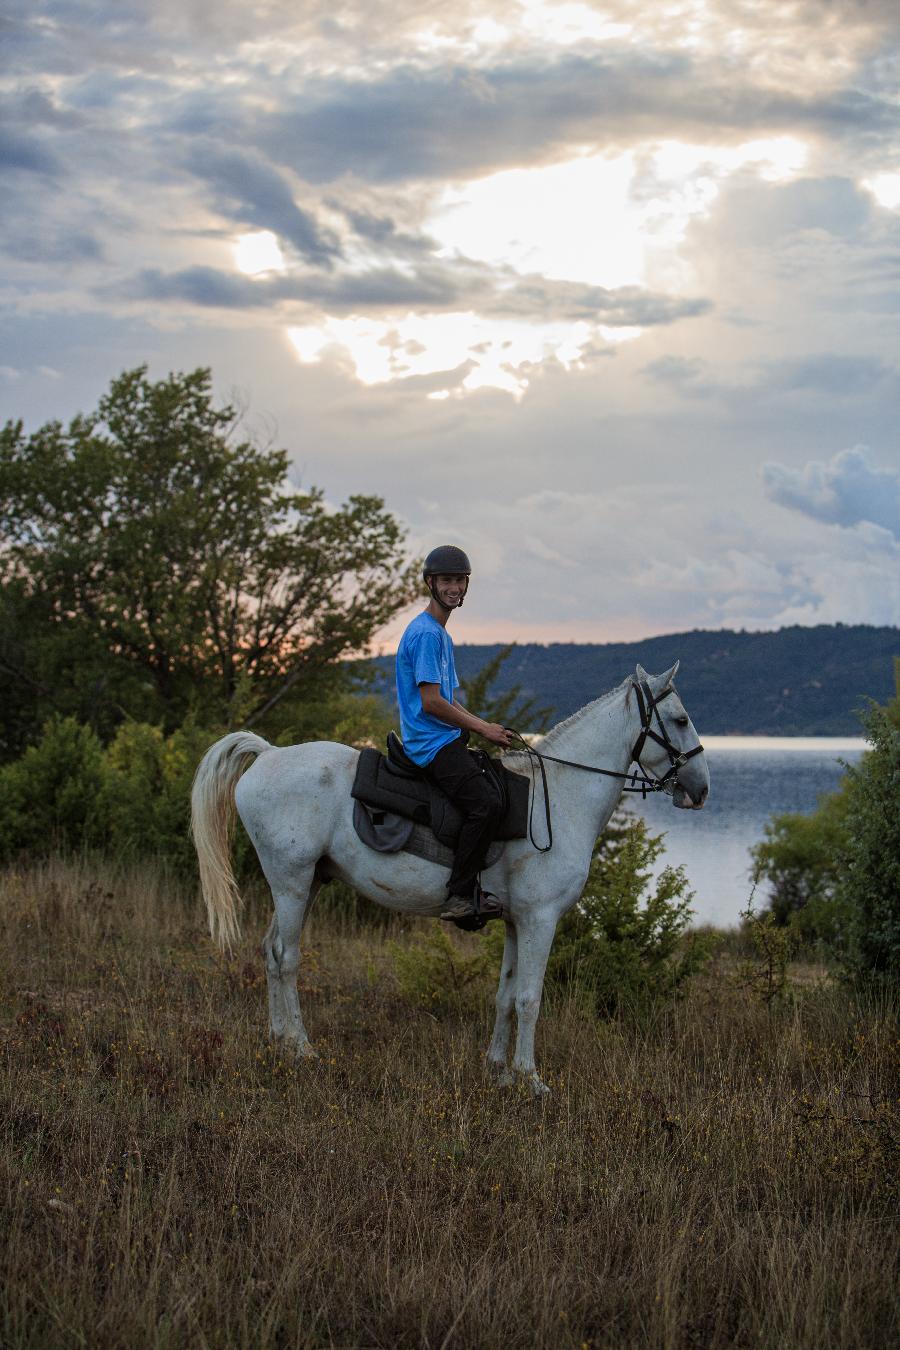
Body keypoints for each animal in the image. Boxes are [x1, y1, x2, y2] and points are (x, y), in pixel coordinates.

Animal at [191, 664, 712, 1096]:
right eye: (681, 719)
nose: (702, 790)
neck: (559, 799)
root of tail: (269, 754)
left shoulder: (516, 922)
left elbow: (505, 996)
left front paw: (499, 1071)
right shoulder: (541, 919)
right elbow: (530, 998)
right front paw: (531, 1079)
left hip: (305, 883)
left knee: (270, 949)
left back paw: (278, 1041)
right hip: (292, 882)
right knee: (286, 958)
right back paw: (300, 1047)